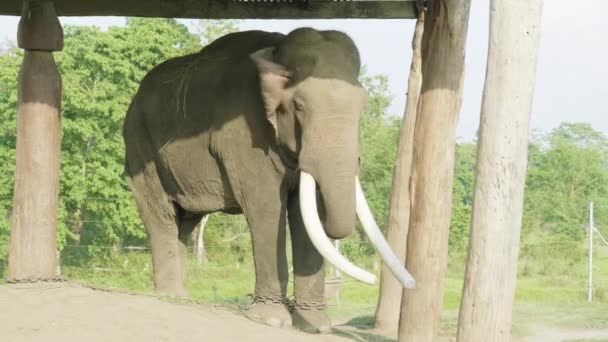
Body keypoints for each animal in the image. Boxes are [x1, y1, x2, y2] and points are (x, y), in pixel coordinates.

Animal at [122, 28, 414, 332]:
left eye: (363, 106)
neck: (279, 49)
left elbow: (303, 215)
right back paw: (170, 296)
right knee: (161, 214)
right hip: (140, 145)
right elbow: (266, 208)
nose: (372, 278)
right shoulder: (245, 134)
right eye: (299, 106)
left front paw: (316, 326)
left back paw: (181, 297)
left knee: (186, 219)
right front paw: (272, 320)